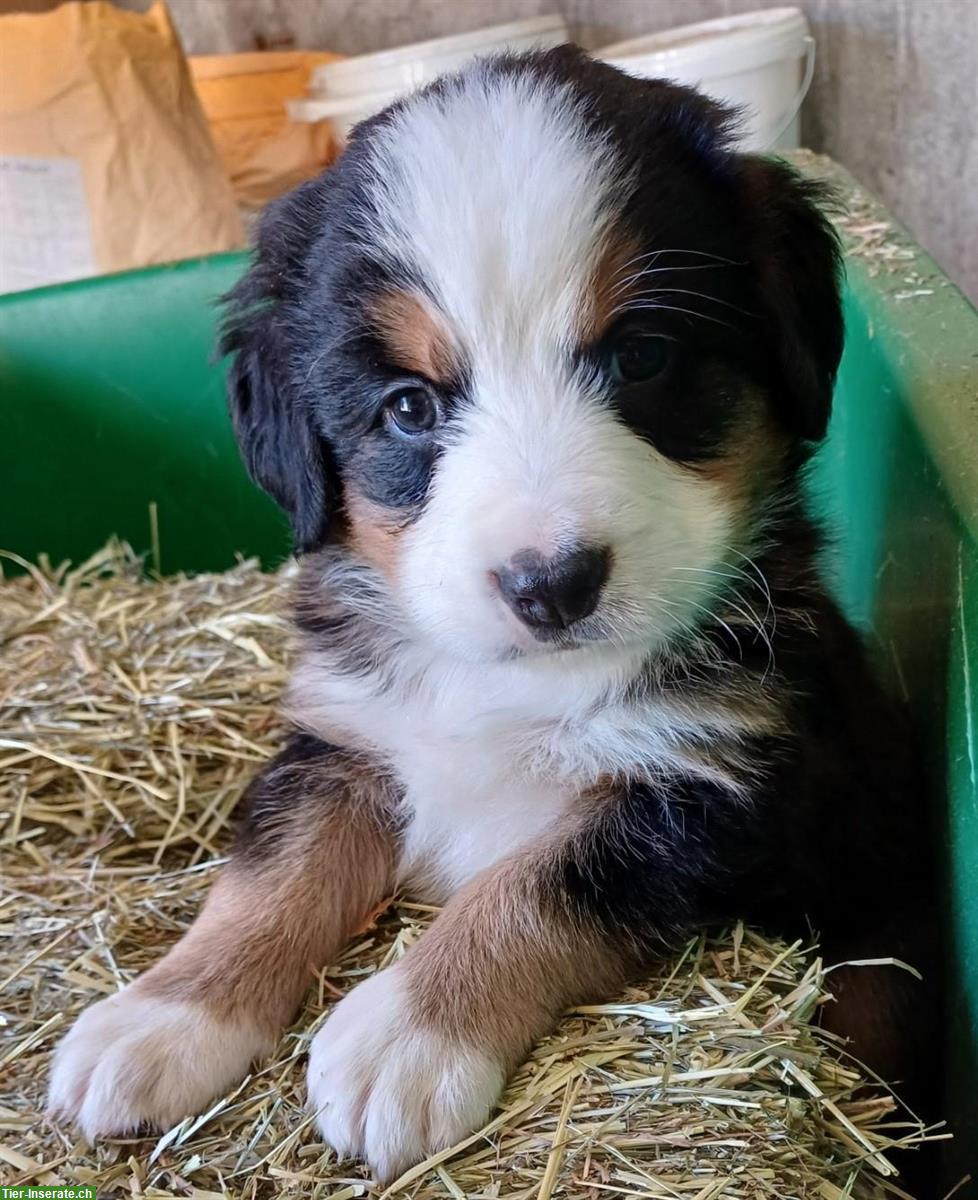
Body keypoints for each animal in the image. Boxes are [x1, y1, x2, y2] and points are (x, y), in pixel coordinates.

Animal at [49, 44, 936, 1180]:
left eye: (643, 355)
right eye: (409, 408)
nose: (550, 583)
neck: (511, 689)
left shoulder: (712, 783)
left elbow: (532, 887)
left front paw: (405, 1038)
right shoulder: (346, 739)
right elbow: (269, 877)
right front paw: (164, 1016)